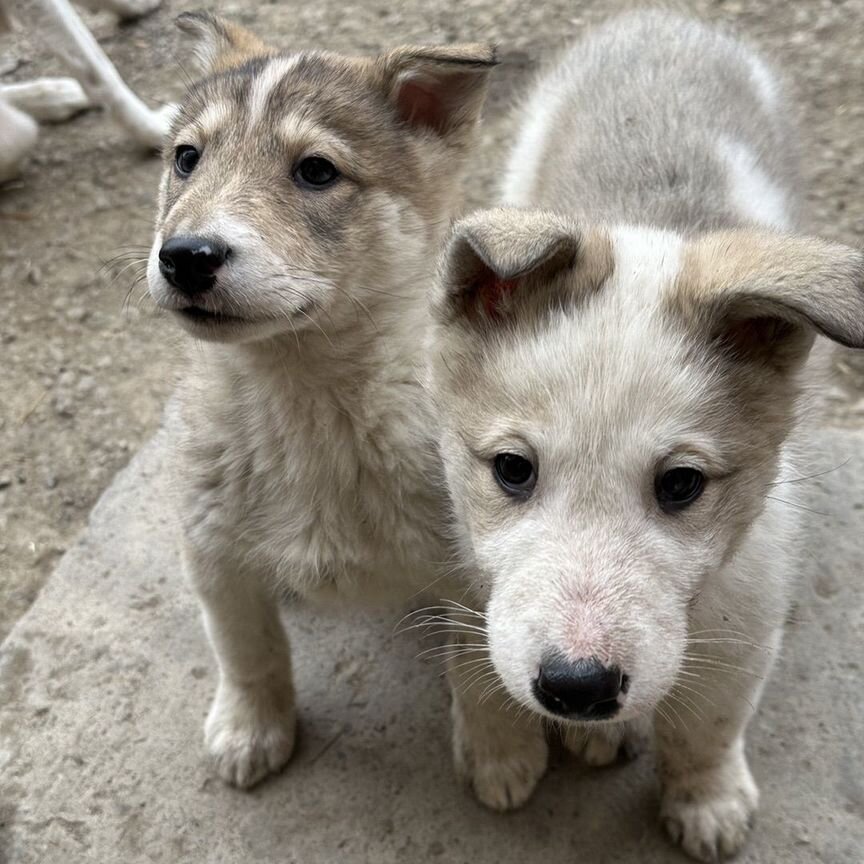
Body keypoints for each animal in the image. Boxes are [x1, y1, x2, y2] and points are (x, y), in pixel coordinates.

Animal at [142, 11, 548, 808]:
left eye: (317, 171)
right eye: (186, 159)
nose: (186, 255)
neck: (307, 404)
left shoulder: (478, 569)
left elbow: (479, 672)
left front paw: (501, 754)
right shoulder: (211, 553)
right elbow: (247, 651)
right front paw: (251, 728)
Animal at [426, 10, 864, 860]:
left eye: (682, 484)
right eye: (512, 469)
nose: (577, 689)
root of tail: (664, 18)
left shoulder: (742, 620)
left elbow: (710, 727)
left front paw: (707, 799)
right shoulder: (461, 572)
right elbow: (475, 665)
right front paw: (500, 753)